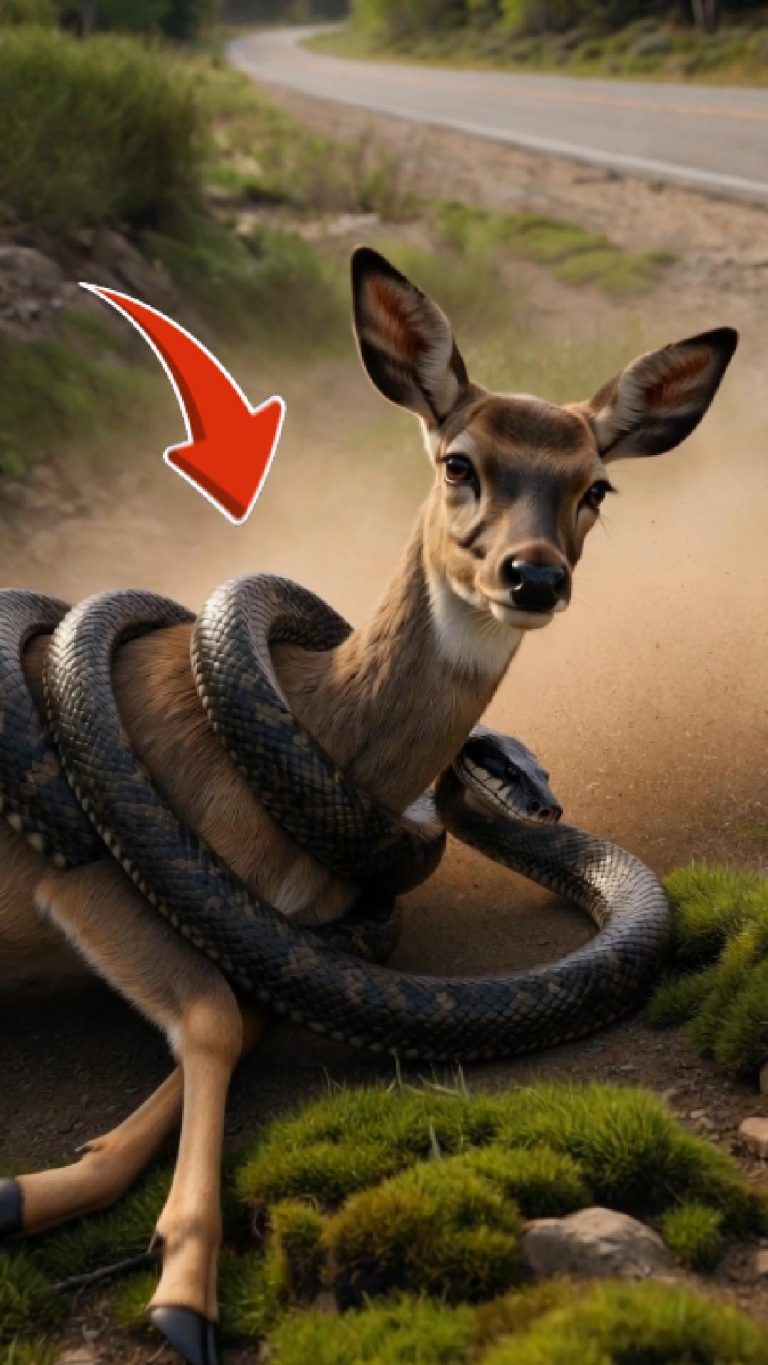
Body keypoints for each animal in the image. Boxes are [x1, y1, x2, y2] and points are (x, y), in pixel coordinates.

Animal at [0, 247, 736, 1365]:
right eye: (460, 462)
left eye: (596, 485)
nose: (532, 576)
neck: (314, 715)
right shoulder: (82, 880)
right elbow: (213, 1019)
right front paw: (176, 1287)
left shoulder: (284, 930)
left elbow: (243, 1013)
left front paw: (52, 1195)